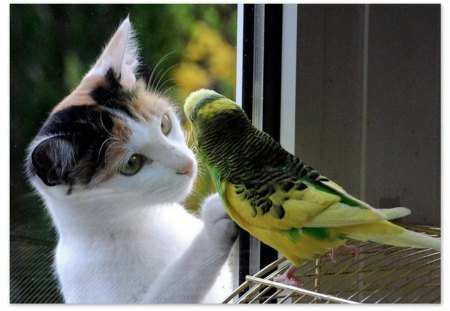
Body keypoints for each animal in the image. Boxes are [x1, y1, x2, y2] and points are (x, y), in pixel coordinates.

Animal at [24, 17, 237, 304]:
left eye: (164, 124)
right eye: (131, 164)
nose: (187, 164)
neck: (143, 219)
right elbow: (173, 287)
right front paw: (215, 222)